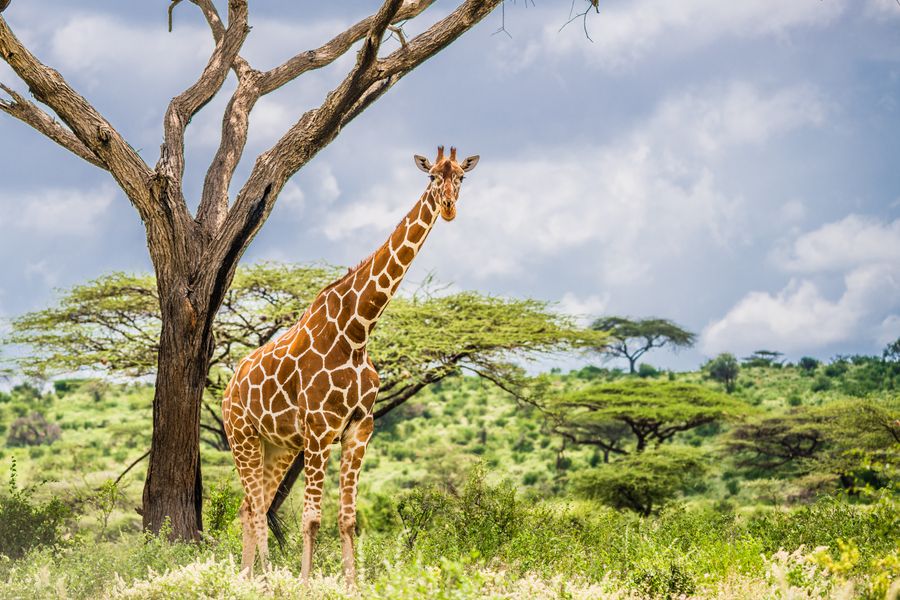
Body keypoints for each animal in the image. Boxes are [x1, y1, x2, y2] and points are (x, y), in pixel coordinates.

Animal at [222, 146, 479, 584]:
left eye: (461, 177)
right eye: (431, 177)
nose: (448, 207)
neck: (357, 331)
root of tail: (227, 389)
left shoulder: (359, 427)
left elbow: (348, 518)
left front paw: (351, 582)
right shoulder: (320, 429)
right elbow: (311, 518)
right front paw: (305, 583)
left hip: (278, 446)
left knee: (249, 506)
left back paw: (249, 577)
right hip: (242, 435)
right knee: (255, 507)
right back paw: (263, 579)